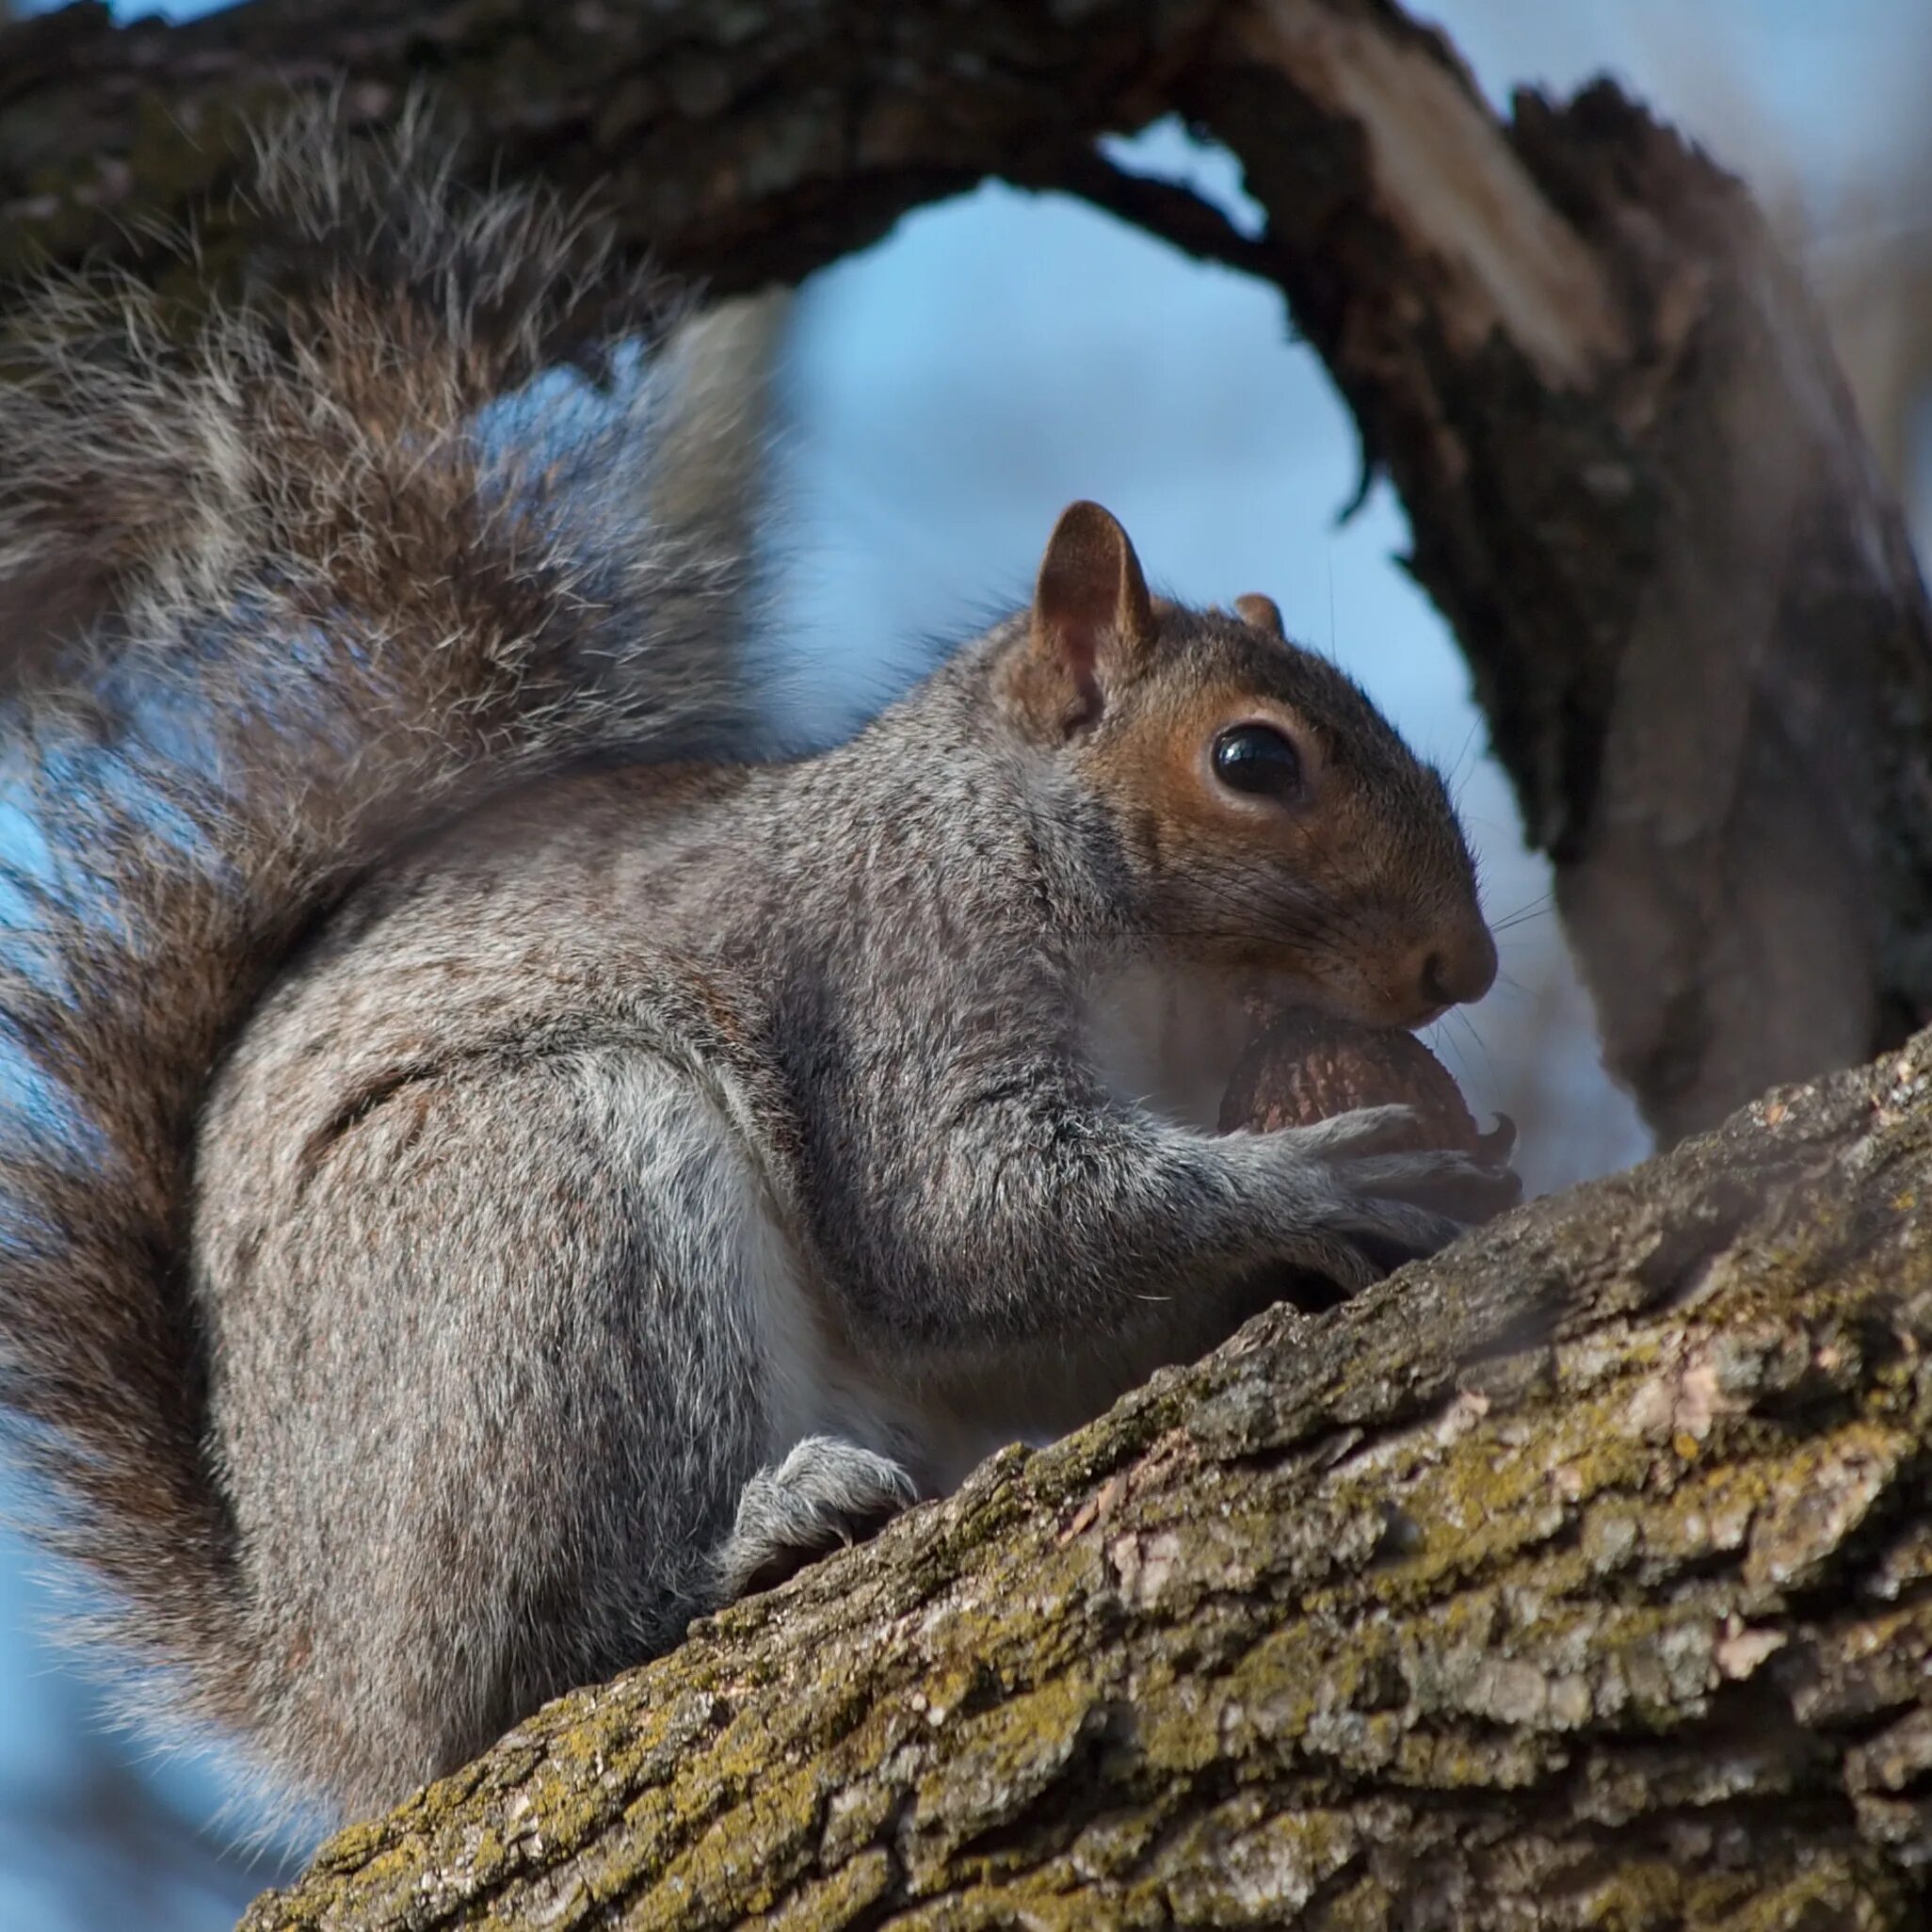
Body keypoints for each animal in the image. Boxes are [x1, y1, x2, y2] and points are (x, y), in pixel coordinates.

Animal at [0, 113, 1506, 1815]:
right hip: (549, 1208)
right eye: (1254, 760)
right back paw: (745, 1541)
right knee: (539, 1648)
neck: (1167, 969)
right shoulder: (902, 966)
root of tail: (329, 1685)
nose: (1464, 960)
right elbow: (959, 1217)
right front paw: (1313, 1177)